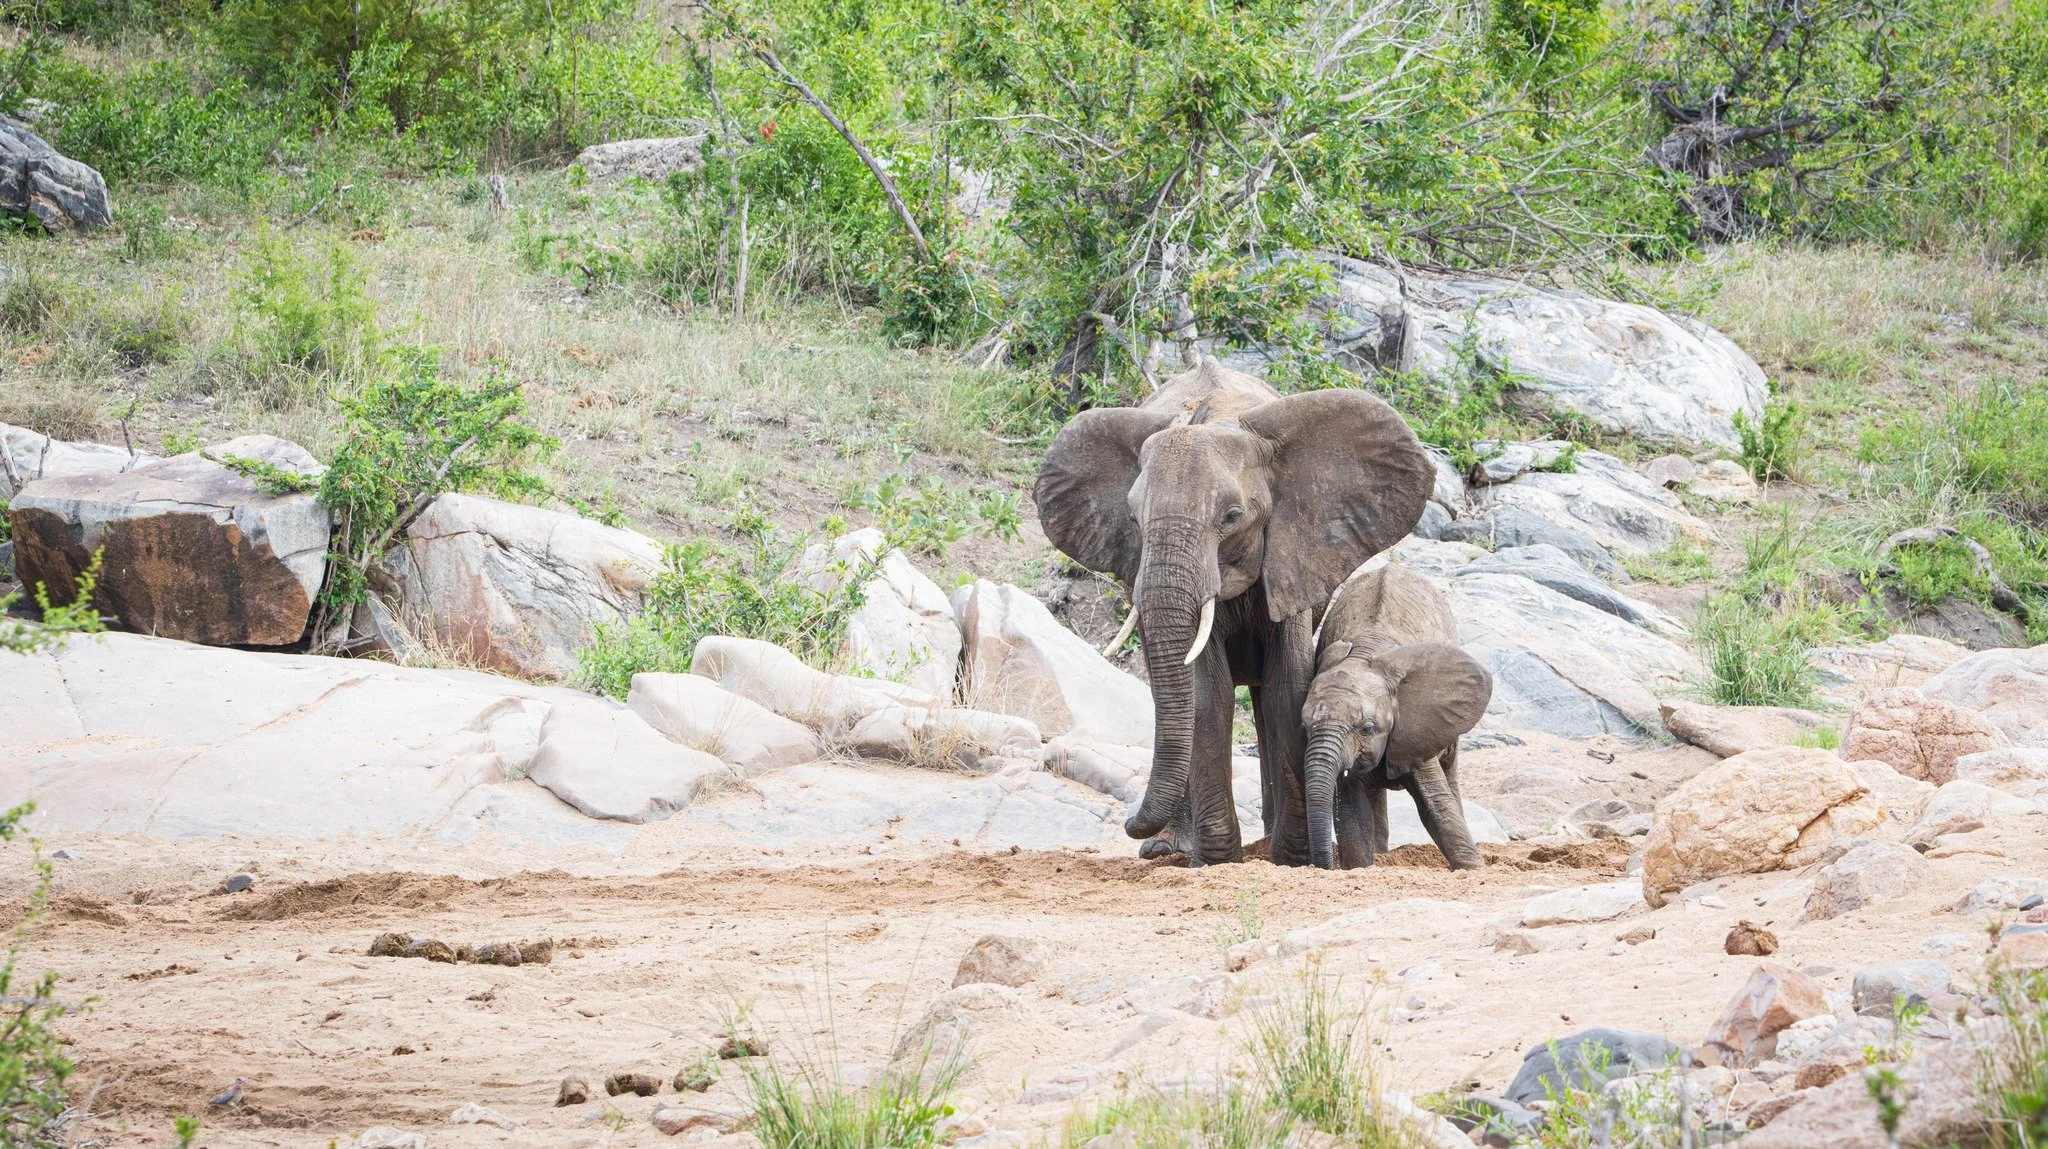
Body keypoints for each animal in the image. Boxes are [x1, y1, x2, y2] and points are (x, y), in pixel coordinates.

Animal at [1034, 361, 1435, 866]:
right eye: (1133, 519)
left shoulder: (1290, 556)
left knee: (1263, 699)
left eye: (1230, 516)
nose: (1128, 825)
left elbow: (1288, 689)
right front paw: (1219, 860)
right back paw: (1169, 849)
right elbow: (1208, 692)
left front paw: (1291, 859)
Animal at [1301, 563, 1493, 869]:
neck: (1366, 656)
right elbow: (1352, 811)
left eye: (1367, 728)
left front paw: (1473, 869)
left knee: (1450, 774)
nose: (1320, 865)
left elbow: (1436, 805)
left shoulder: (1416, 726)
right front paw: (1362, 867)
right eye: (1305, 728)